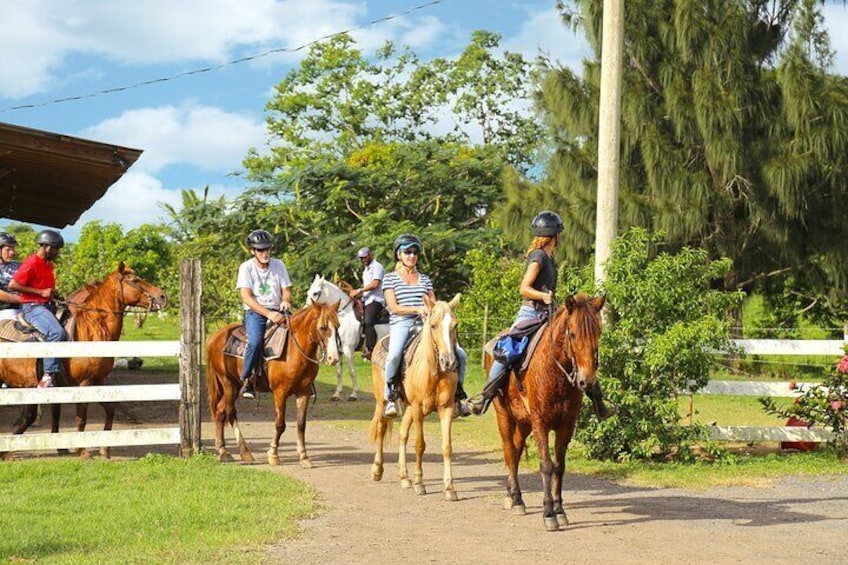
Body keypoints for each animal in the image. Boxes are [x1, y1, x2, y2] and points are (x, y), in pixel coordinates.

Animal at [0, 262, 167, 456]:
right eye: (134, 280)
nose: (162, 296)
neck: (90, 331)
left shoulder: (99, 381)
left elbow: (110, 410)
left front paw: (105, 448)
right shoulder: (83, 383)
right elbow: (81, 417)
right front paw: (82, 450)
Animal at [204, 302, 340, 464]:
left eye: (337, 326)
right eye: (323, 327)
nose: (333, 358)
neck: (294, 350)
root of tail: (215, 336)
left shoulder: (304, 392)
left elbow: (301, 424)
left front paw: (304, 456)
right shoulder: (280, 392)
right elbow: (280, 424)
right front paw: (273, 454)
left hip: (235, 386)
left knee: (220, 411)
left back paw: (223, 450)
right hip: (228, 383)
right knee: (230, 413)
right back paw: (244, 452)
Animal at [370, 294, 460, 500]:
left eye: (455, 325)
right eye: (433, 325)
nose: (449, 362)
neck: (434, 373)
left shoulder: (446, 409)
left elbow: (447, 447)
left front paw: (449, 488)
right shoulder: (419, 408)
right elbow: (420, 444)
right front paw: (420, 483)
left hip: (409, 407)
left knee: (402, 434)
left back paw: (404, 477)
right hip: (382, 402)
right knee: (380, 429)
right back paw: (377, 470)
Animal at [486, 294, 608, 532]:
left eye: (598, 332)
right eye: (572, 333)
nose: (586, 380)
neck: (555, 373)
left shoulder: (566, 425)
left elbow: (559, 467)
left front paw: (560, 511)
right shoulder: (540, 423)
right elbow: (546, 466)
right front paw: (549, 513)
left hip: (523, 423)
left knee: (515, 451)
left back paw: (512, 495)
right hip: (504, 416)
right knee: (509, 451)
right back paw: (517, 499)